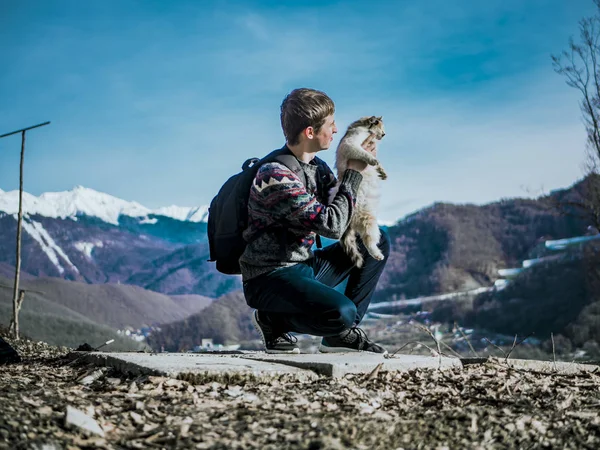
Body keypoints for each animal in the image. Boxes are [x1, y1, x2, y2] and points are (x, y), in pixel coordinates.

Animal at [330, 116, 386, 268]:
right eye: (381, 128)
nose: (384, 134)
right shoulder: (351, 143)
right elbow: (363, 153)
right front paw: (372, 159)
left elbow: (380, 165)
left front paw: (383, 172)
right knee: (369, 241)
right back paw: (377, 254)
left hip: (368, 218)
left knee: (368, 238)